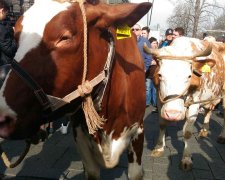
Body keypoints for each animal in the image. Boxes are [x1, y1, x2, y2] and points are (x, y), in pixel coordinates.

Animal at [0, 0, 152, 179]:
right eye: (16, 37)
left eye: (64, 37)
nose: (3, 118)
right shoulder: (80, 135)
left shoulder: (138, 130)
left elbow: (135, 172)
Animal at [144, 36, 225, 170]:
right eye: (160, 75)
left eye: (189, 76)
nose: (172, 114)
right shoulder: (161, 101)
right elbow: (162, 124)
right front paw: (159, 148)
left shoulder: (194, 104)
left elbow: (187, 133)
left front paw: (186, 159)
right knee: (208, 110)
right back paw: (204, 130)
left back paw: (222, 136)